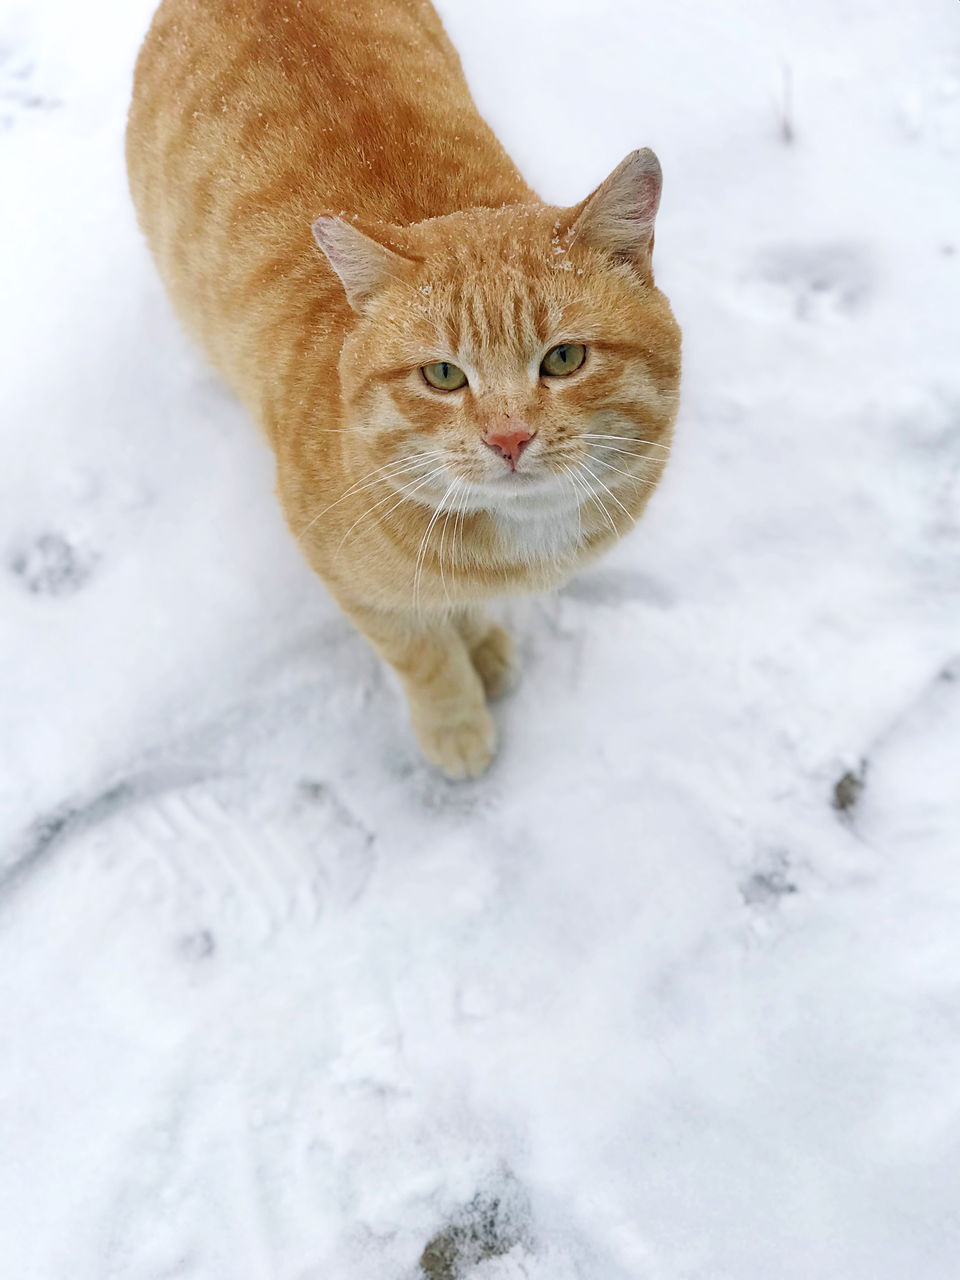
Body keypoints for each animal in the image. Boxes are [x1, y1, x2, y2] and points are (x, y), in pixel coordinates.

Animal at [128, 0, 686, 778]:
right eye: (443, 375)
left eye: (565, 358)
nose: (509, 437)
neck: (519, 539)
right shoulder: (355, 586)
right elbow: (424, 652)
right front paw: (456, 720)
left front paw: (480, 643)